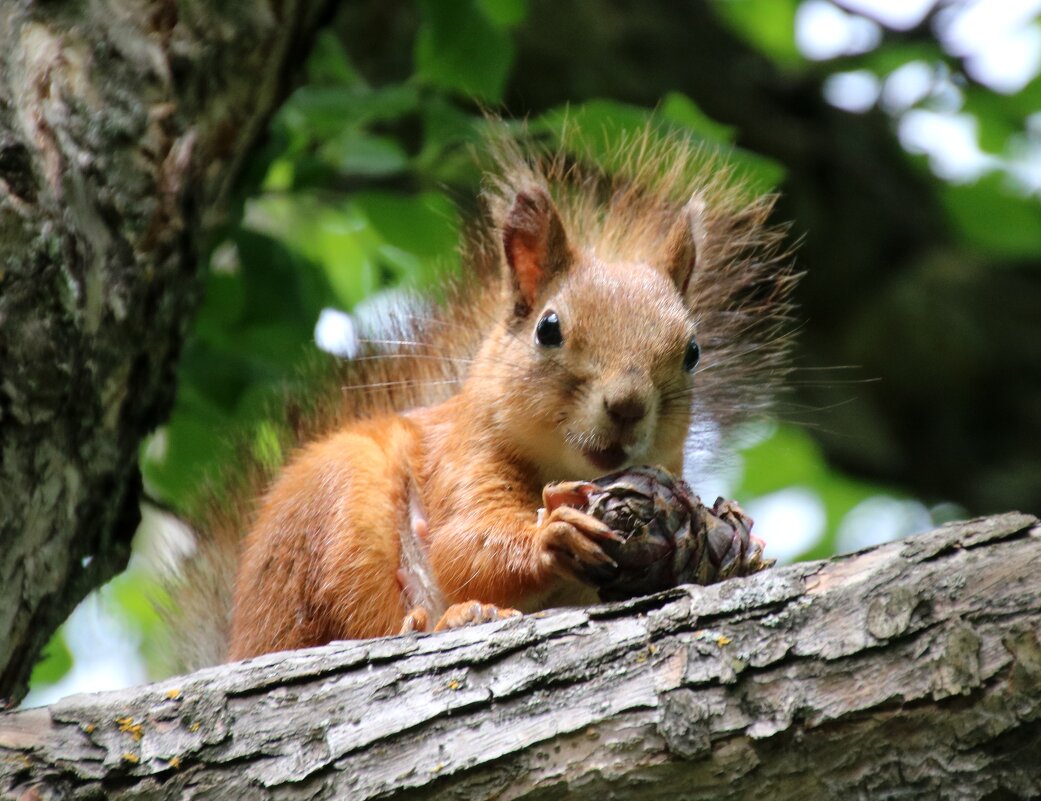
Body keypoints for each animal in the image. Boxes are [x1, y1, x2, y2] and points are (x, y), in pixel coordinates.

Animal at [172, 131, 786, 662]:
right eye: (548, 328)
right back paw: (450, 618)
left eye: (693, 352)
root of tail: (241, 641)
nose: (628, 406)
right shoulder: (458, 457)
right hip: (335, 521)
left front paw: (739, 544)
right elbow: (461, 544)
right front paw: (551, 536)